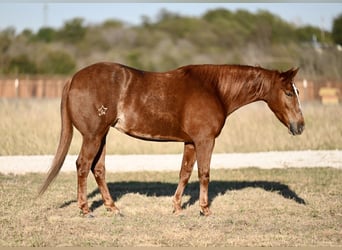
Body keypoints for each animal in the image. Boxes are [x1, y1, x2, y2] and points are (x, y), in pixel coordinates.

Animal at [38, 61, 304, 216]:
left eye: (297, 91)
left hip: (101, 136)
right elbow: (204, 173)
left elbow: (185, 173)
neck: (214, 89)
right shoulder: (205, 140)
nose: (300, 126)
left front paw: (176, 207)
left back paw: (112, 207)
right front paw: (204, 210)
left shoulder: (191, 142)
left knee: (98, 169)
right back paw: (84, 209)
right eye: (289, 93)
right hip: (93, 135)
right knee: (83, 166)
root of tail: (74, 78)